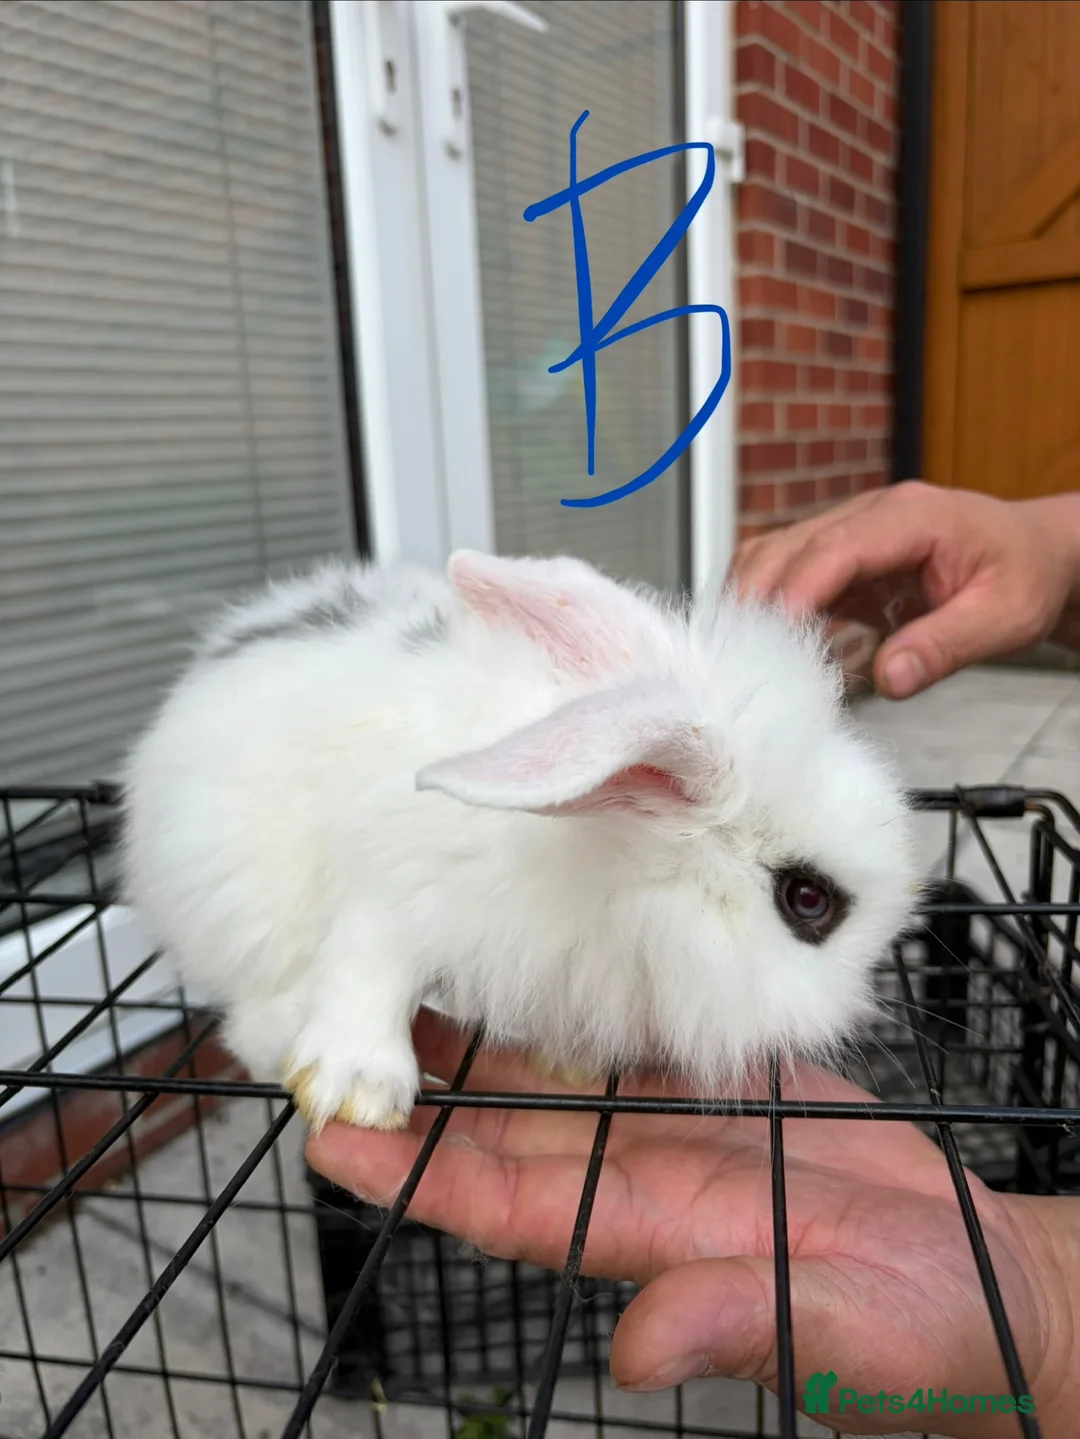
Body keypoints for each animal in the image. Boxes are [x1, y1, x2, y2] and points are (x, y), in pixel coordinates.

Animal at [120, 549, 918, 1132]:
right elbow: (368, 969)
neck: (611, 857)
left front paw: (574, 1066)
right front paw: (355, 1092)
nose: (862, 1003)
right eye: (807, 899)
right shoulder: (401, 890)